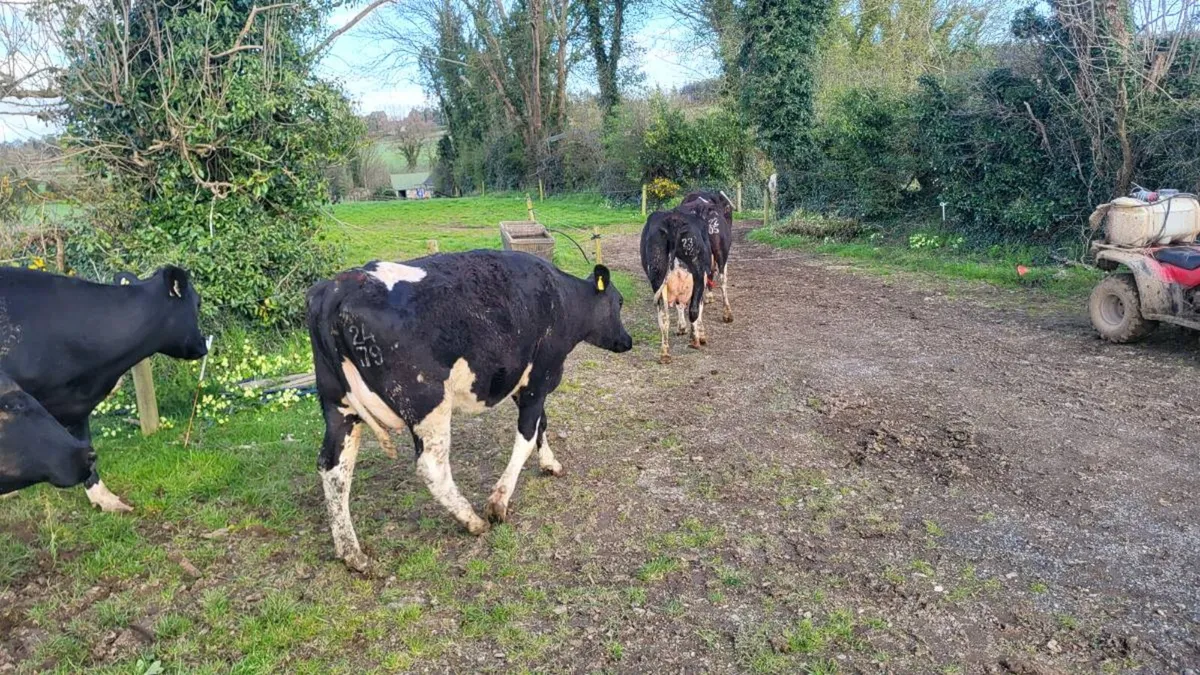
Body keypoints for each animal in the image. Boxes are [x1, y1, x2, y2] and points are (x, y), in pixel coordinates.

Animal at [306, 250, 633, 571]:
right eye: (619, 302)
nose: (627, 341)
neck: (564, 299)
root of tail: (337, 288)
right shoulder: (538, 379)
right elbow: (527, 435)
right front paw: (499, 502)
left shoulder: (522, 383)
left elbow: (542, 424)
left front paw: (550, 463)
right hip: (427, 403)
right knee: (431, 466)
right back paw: (472, 521)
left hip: (339, 407)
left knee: (333, 467)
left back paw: (352, 554)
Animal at [640, 209, 712, 364]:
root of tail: (674, 221)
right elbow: (698, 307)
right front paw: (699, 334)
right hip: (698, 273)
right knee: (694, 310)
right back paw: (695, 341)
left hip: (658, 277)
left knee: (663, 316)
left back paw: (665, 354)